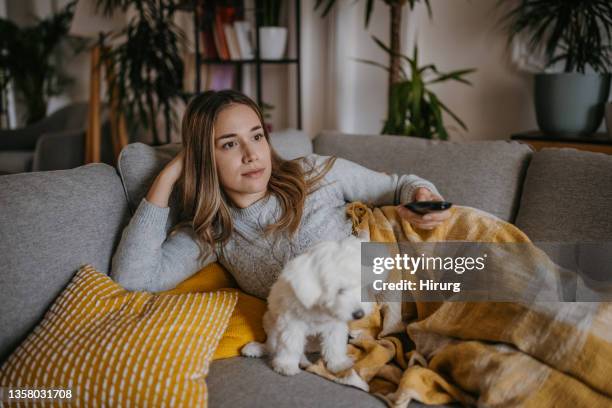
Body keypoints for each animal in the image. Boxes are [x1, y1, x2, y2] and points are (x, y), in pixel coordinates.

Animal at [241, 234, 376, 378]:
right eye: (339, 290)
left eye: (362, 287)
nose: (359, 314)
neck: (320, 308)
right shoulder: (292, 322)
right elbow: (290, 344)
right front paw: (286, 365)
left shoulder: (335, 325)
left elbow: (335, 343)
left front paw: (338, 363)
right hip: (270, 322)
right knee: (272, 346)